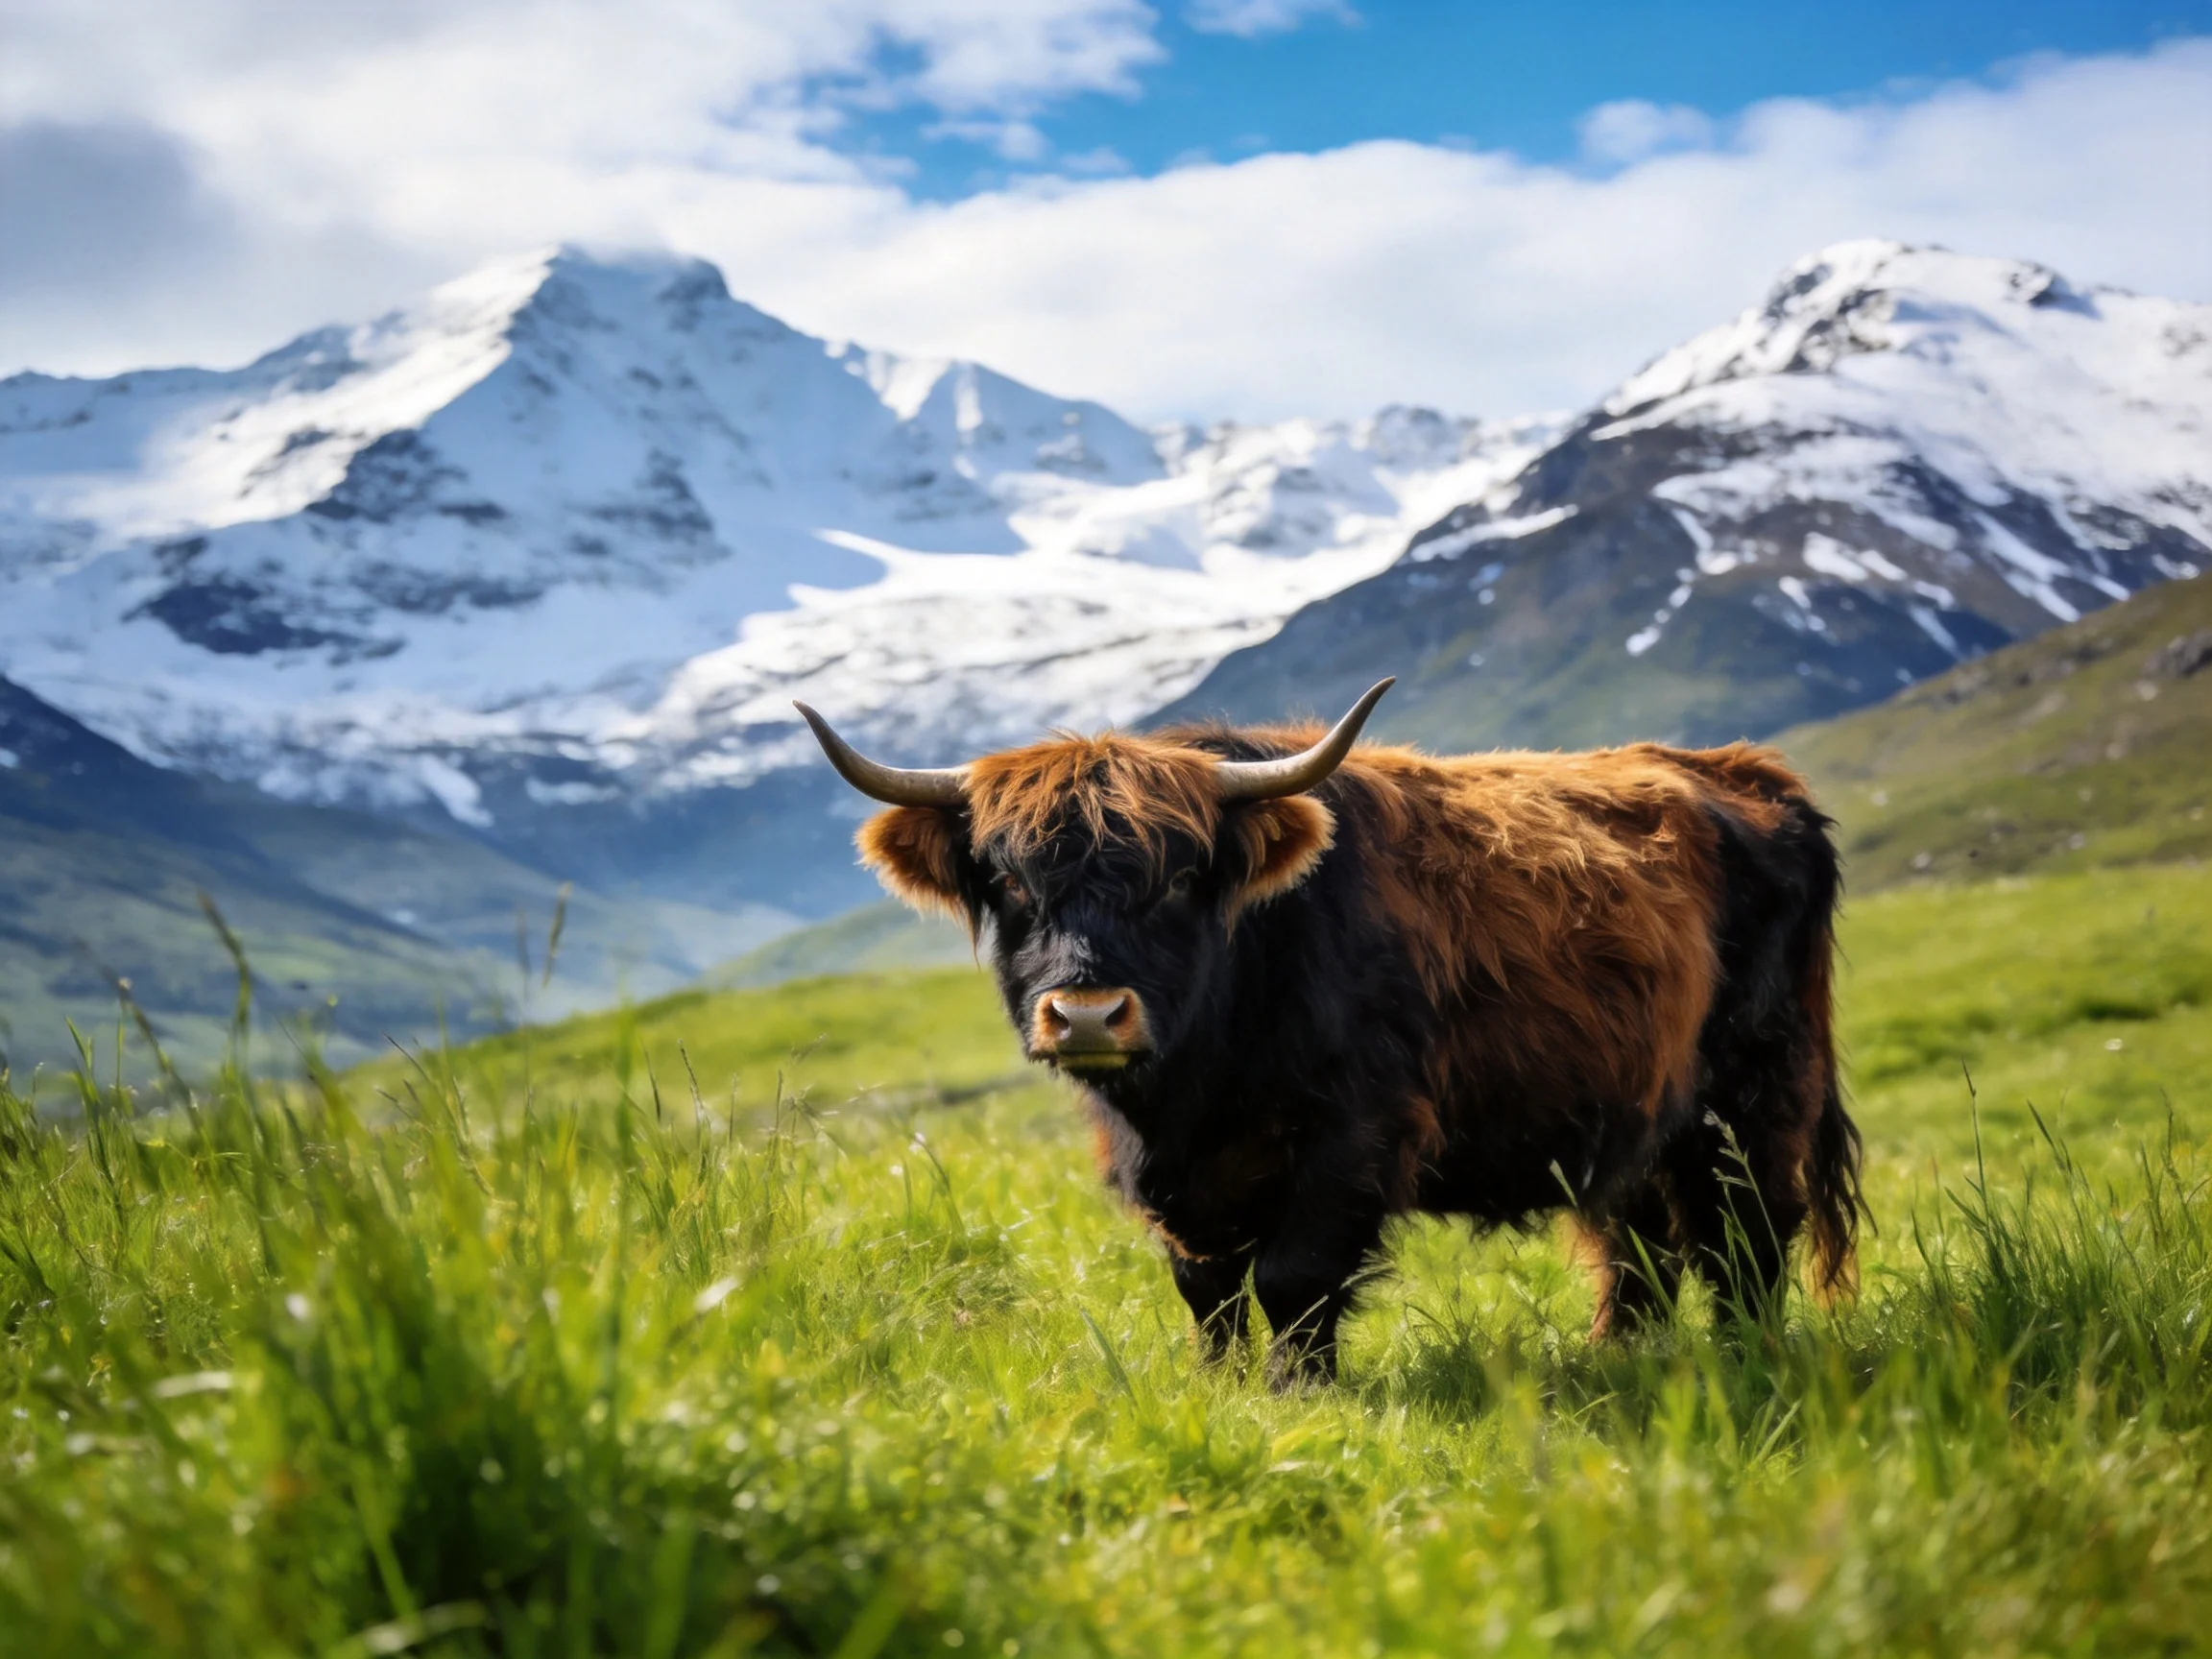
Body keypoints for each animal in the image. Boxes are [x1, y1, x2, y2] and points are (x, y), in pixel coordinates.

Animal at [797, 681, 1863, 1384]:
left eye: (1181, 880)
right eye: (1011, 880)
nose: (1088, 1013)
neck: (1202, 1078)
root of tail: (1750, 774)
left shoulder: (1358, 1132)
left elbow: (1293, 1275)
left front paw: (1297, 1393)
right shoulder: (1177, 1171)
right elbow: (1206, 1283)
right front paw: (1221, 1389)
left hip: (1758, 1094)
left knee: (1749, 1233)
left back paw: (1749, 1358)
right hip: (1636, 1110)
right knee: (1639, 1240)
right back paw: (1616, 1358)